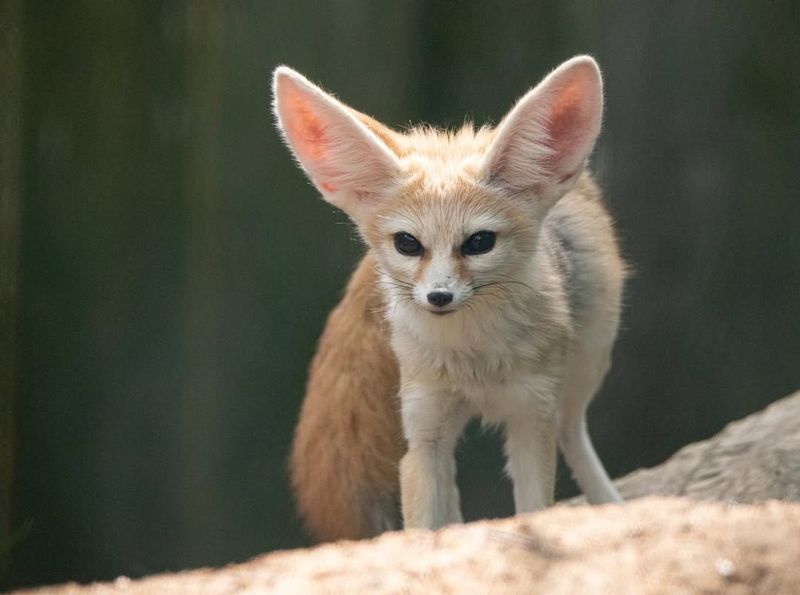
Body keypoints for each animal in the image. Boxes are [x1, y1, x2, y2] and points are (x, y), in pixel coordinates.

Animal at [274, 57, 624, 544]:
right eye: (407, 243)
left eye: (479, 243)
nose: (438, 296)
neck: (471, 359)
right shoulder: (424, 432)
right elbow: (423, 525)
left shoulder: (531, 419)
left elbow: (534, 508)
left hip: (585, 365)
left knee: (573, 432)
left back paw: (612, 502)